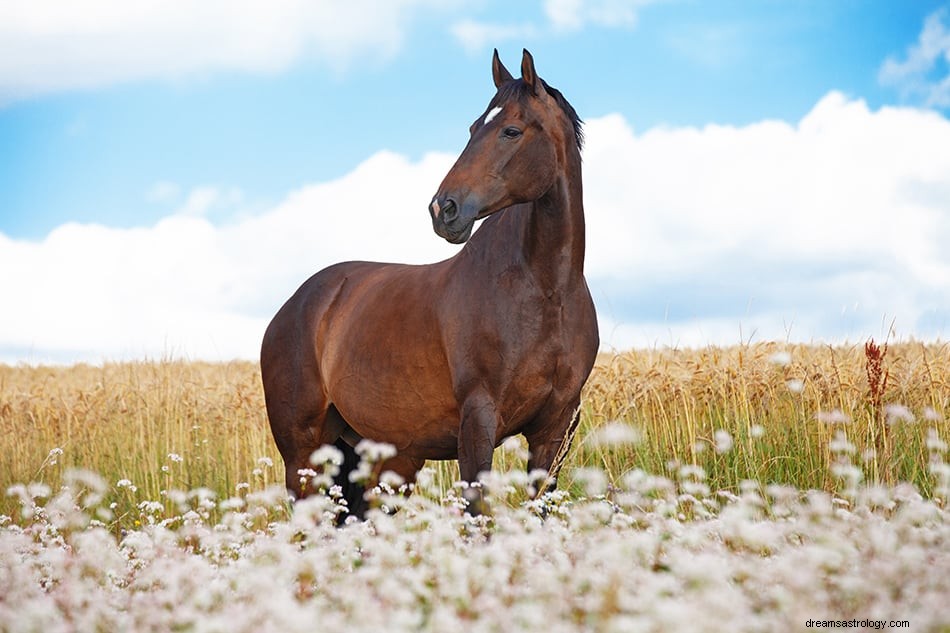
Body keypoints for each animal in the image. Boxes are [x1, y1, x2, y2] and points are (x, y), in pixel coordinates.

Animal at [258, 49, 604, 520]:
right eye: (474, 127)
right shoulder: (477, 422)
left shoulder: (556, 428)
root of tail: (295, 306)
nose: (444, 209)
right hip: (304, 457)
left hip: (383, 459)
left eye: (511, 130)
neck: (546, 291)